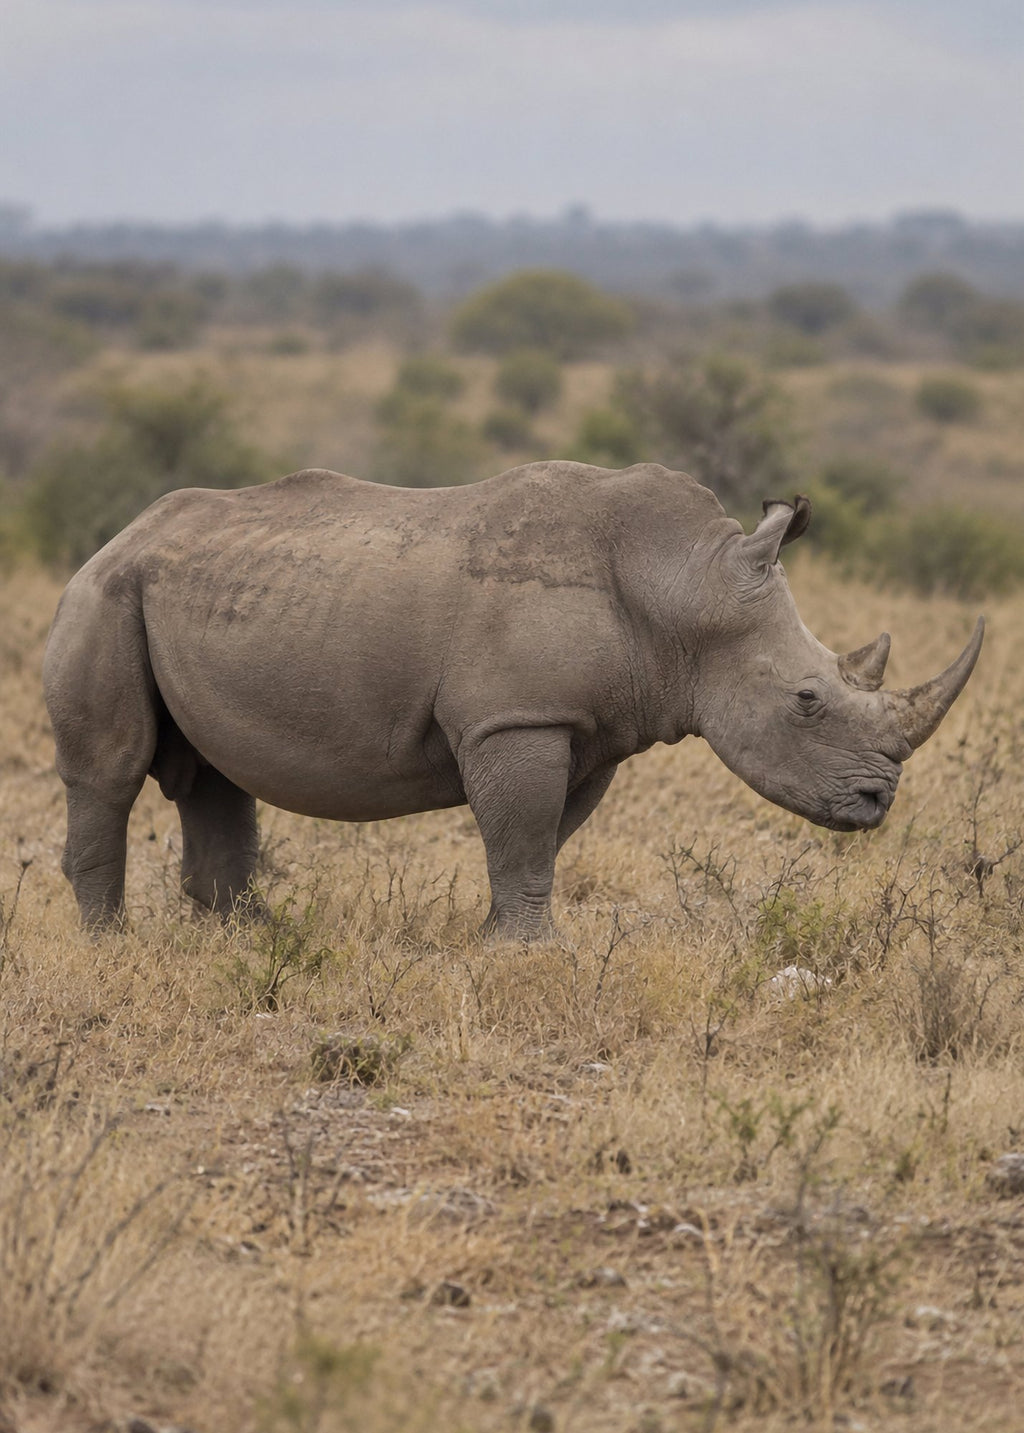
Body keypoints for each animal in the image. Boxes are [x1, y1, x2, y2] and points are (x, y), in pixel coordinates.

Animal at [43, 461, 983, 937]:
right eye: (807, 698)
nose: (878, 801)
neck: (684, 586)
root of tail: (115, 536)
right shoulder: (518, 717)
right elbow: (523, 832)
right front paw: (530, 952)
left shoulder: (585, 726)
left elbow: (539, 837)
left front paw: (501, 940)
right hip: (103, 596)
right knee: (110, 773)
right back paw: (112, 946)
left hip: (181, 593)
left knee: (214, 777)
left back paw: (250, 939)